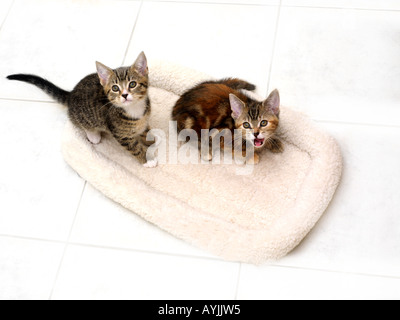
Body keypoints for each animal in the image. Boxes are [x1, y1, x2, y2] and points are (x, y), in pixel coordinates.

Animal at [7, 52, 156, 168]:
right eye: (115, 88)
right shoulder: (122, 136)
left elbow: (145, 131)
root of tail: (70, 94)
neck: (135, 109)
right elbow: (135, 148)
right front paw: (147, 160)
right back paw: (93, 135)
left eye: (132, 84)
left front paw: (151, 141)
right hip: (82, 117)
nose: (124, 95)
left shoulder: (144, 120)